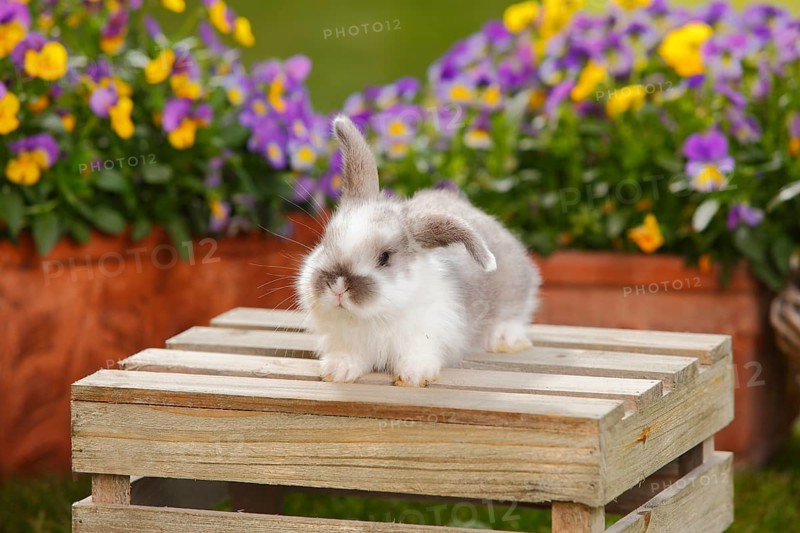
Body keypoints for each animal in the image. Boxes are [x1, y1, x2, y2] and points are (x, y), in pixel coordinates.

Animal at [296, 115, 541, 387]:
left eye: (385, 257)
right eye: (325, 240)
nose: (338, 286)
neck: (374, 316)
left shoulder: (428, 335)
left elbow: (418, 355)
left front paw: (413, 376)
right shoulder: (348, 341)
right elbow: (349, 356)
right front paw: (338, 371)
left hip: (515, 290)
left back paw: (504, 338)